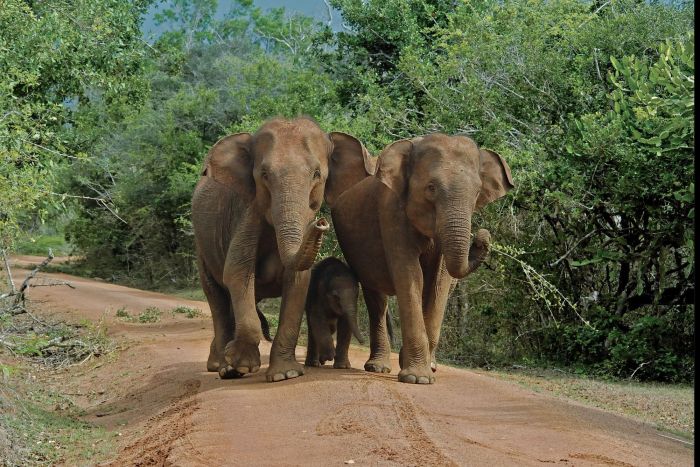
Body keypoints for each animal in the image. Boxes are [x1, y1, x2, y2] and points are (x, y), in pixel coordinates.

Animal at [191, 118, 372, 384]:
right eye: (264, 175)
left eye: (317, 174)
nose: (320, 223)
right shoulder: (247, 214)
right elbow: (237, 273)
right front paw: (241, 366)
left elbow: (298, 281)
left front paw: (285, 374)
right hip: (201, 247)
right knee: (217, 297)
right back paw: (222, 367)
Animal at [330, 133, 512, 384]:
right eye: (431, 188)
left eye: (477, 193)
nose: (481, 236)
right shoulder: (391, 211)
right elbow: (411, 275)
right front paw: (417, 379)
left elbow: (438, 282)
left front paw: (419, 369)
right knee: (376, 298)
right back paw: (378, 367)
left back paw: (429, 365)